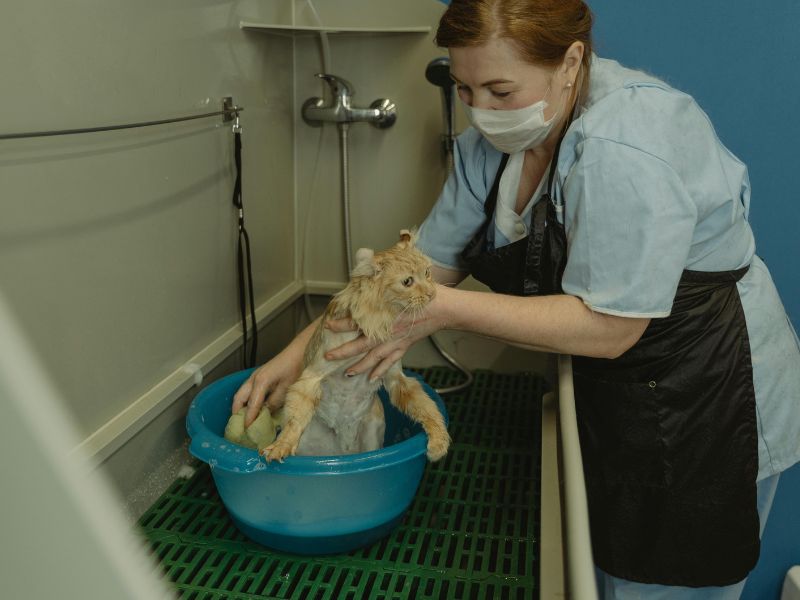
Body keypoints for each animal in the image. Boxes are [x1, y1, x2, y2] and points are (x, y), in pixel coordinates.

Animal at [260, 231, 450, 464]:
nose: (432, 293)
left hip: (371, 435)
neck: (378, 320)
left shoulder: (397, 378)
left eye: (428, 272)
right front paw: (282, 444)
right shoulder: (311, 377)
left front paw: (439, 439)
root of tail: (342, 453)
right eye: (407, 281)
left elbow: (426, 407)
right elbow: (294, 421)